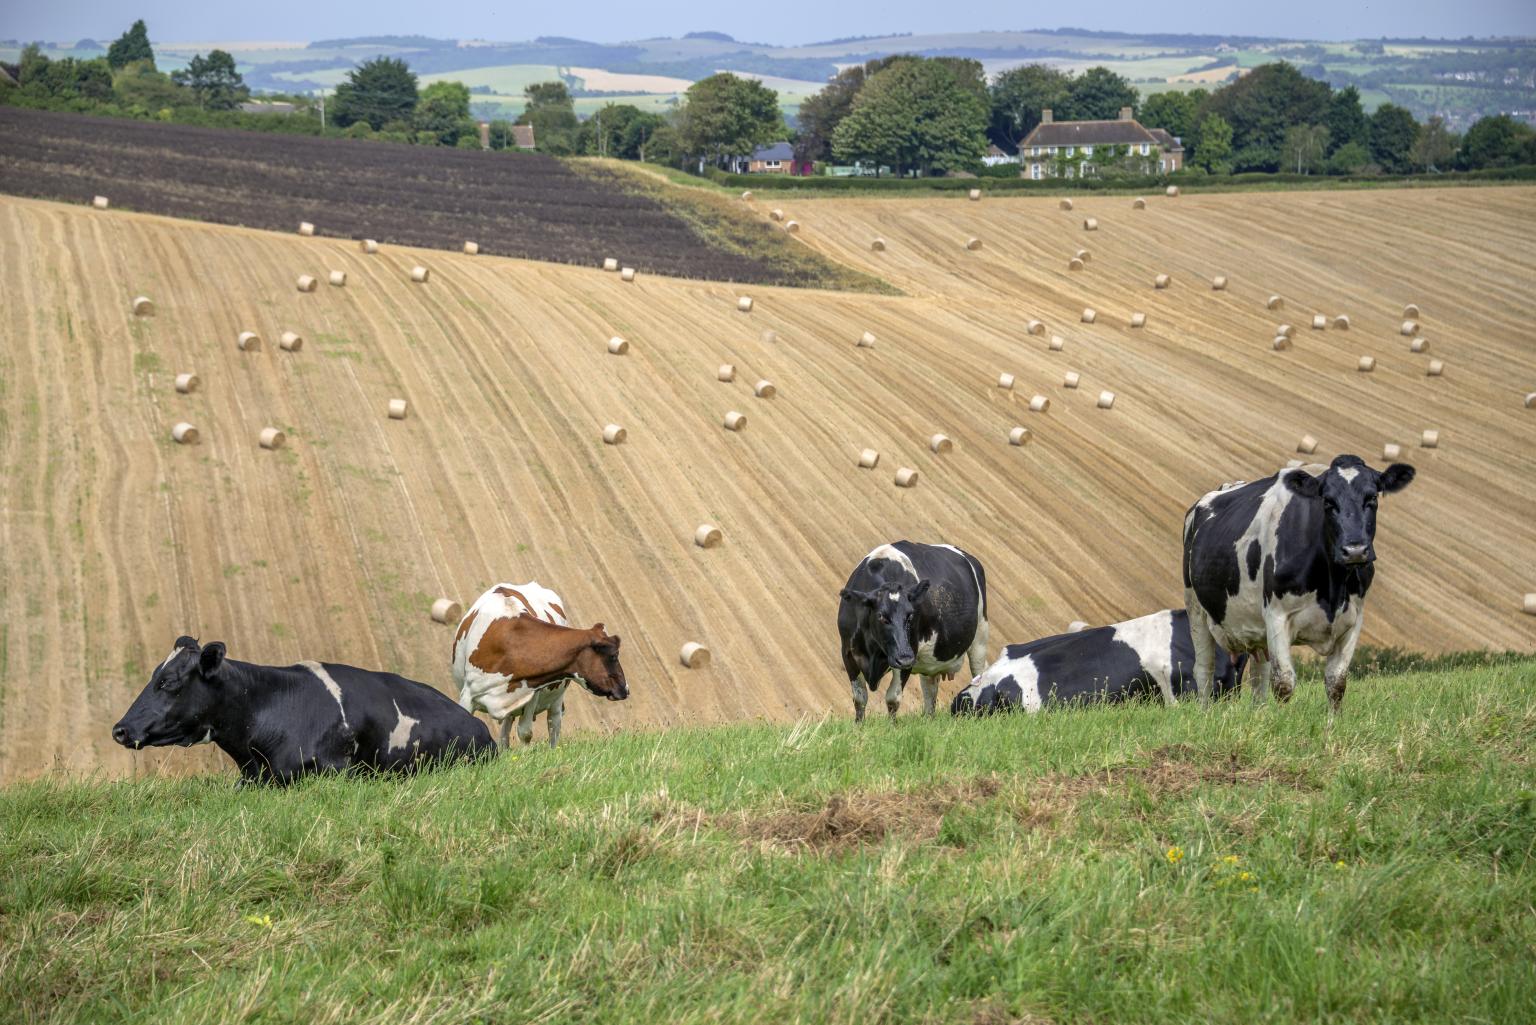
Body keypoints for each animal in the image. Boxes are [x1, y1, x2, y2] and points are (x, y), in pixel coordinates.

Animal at [448, 583, 629, 746]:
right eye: (614, 656)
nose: (626, 689)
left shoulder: (533, 692)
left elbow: (525, 733)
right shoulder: (468, 694)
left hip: (556, 701)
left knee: (553, 726)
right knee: (505, 735)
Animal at [835, 540, 989, 725]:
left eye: (910, 615)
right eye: (882, 617)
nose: (905, 658)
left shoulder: (910, 652)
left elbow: (893, 698)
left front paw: (892, 727)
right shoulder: (848, 652)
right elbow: (859, 698)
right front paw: (859, 727)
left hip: (980, 637)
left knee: (979, 675)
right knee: (930, 691)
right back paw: (929, 720)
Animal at [1179, 457, 1419, 713]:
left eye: (1372, 497)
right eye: (1327, 501)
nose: (1355, 550)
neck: (1332, 589)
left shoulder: (1354, 619)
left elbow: (1336, 683)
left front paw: (1333, 720)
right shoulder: (1276, 615)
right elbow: (1283, 683)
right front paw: (1282, 719)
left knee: (1258, 675)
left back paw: (1259, 713)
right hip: (1195, 610)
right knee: (1204, 669)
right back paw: (1205, 712)